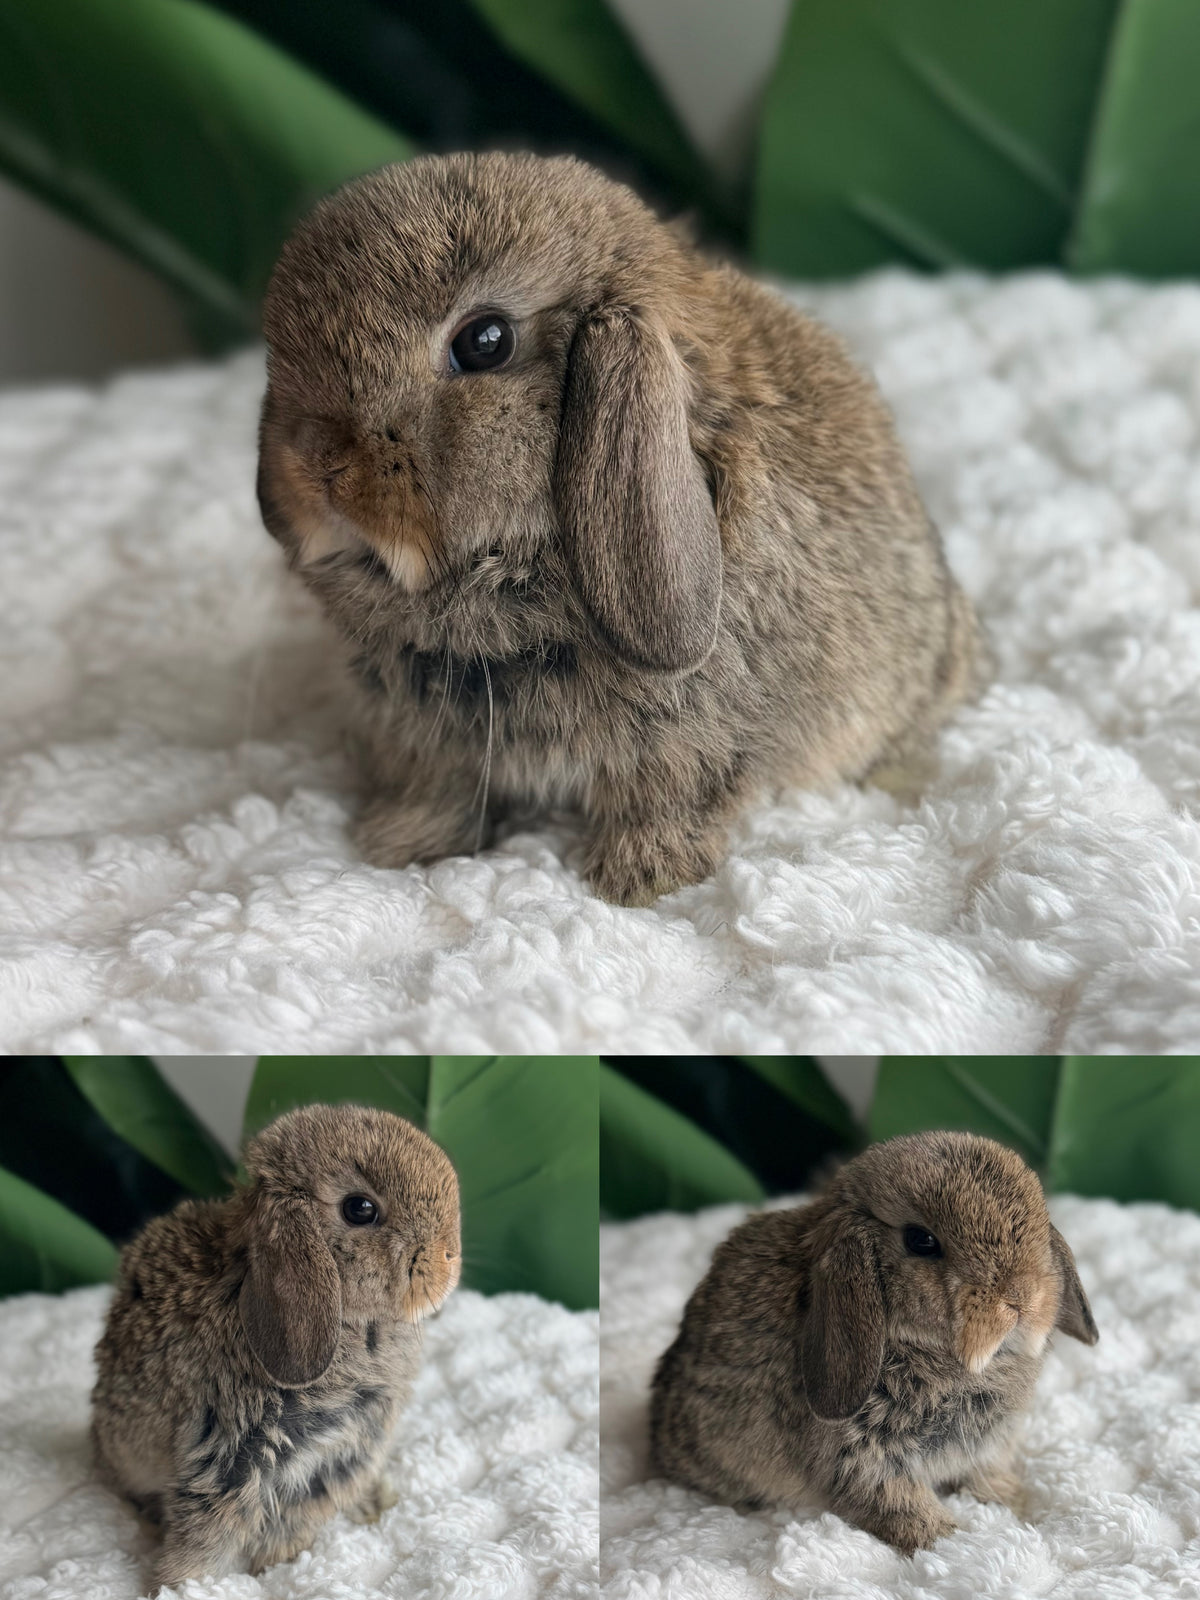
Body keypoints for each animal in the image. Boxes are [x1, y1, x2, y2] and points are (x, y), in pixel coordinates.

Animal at [90, 1103, 460, 1590]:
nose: (450, 1257)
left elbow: (297, 1518)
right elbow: (209, 1536)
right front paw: (179, 1585)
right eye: (360, 1209)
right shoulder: (230, 1460)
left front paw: (278, 1564)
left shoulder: (337, 1459)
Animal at [257, 150, 987, 906]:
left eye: (485, 342)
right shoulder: (422, 741)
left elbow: (668, 802)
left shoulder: (689, 743)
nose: (316, 463)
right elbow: (436, 793)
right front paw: (395, 847)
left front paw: (637, 881)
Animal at [648, 1131, 1098, 1554]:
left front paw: (1015, 1505)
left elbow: (987, 1476)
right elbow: (904, 1506)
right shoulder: (865, 1459)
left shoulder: (986, 1450)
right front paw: (955, 1540)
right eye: (921, 1241)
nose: (1021, 1297)